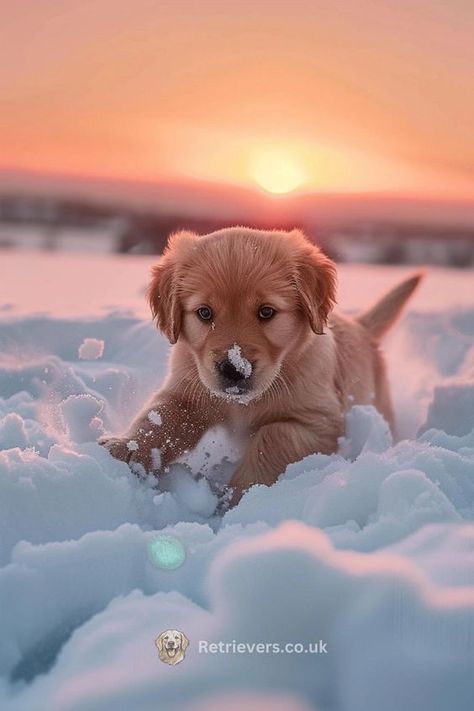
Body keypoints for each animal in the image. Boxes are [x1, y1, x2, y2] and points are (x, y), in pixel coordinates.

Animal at [99, 228, 418, 506]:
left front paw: (239, 498)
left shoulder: (320, 421)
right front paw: (127, 448)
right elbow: (160, 418)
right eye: (204, 313)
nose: (234, 369)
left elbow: (272, 437)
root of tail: (362, 326)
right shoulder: (189, 391)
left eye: (266, 312)